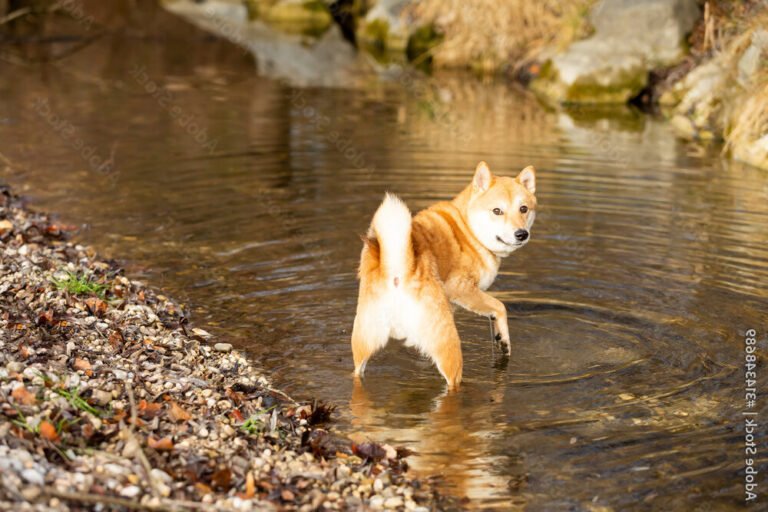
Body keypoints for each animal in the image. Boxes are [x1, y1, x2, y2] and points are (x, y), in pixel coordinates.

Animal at [352, 162, 536, 390]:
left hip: (364, 341)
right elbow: (499, 306)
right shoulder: (460, 288)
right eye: (497, 211)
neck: (468, 229)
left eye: (523, 209)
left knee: (357, 373)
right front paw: (502, 340)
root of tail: (397, 269)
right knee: (452, 383)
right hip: (449, 345)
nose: (521, 234)